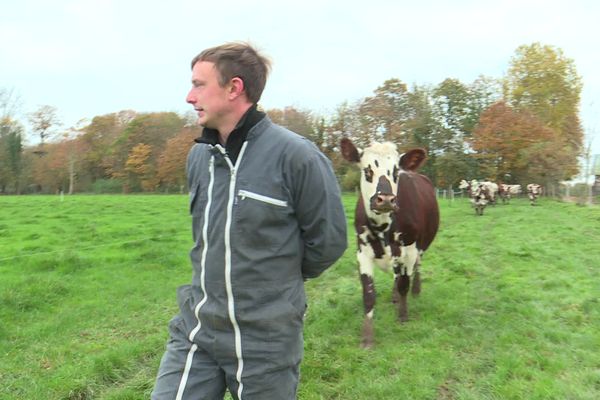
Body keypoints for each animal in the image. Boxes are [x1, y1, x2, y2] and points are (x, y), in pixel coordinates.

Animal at [342, 138, 440, 350]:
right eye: (367, 171)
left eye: (395, 173)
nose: (385, 199)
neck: (383, 227)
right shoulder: (362, 252)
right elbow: (369, 295)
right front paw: (367, 338)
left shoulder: (409, 250)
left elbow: (404, 284)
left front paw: (403, 315)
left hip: (420, 247)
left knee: (415, 269)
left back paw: (415, 290)